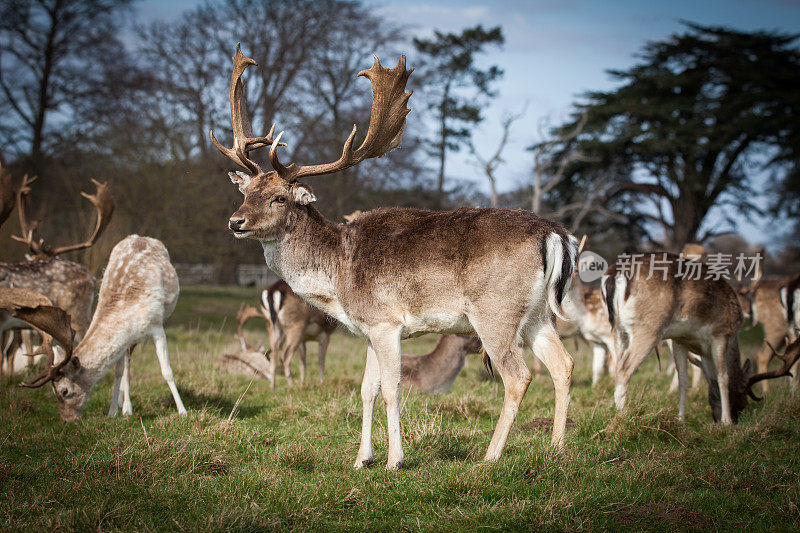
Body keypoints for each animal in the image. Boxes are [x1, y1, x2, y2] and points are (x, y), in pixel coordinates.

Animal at [8, 235, 186, 422]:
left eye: (64, 391)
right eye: (52, 390)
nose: (65, 420)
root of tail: (141, 237)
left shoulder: (157, 327)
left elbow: (167, 371)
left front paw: (182, 411)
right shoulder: (125, 339)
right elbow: (118, 371)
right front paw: (113, 411)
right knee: (126, 365)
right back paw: (127, 408)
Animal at [211, 45, 576, 470]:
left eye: (279, 197)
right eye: (246, 191)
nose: (235, 221)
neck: (337, 279)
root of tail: (555, 234)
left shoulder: (386, 322)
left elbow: (391, 388)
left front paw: (394, 460)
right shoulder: (368, 328)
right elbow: (365, 389)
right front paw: (360, 459)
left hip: (495, 311)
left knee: (518, 376)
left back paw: (490, 457)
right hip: (536, 313)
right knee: (563, 364)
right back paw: (557, 449)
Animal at [604, 254, 796, 424]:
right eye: (743, 392)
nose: (737, 417)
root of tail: (615, 274)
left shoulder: (678, 339)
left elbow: (683, 380)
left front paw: (681, 422)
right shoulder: (721, 333)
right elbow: (723, 376)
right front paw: (726, 423)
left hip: (618, 331)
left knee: (616, 364)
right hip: (649, 326)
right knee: (624, 369)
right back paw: (623, 419)